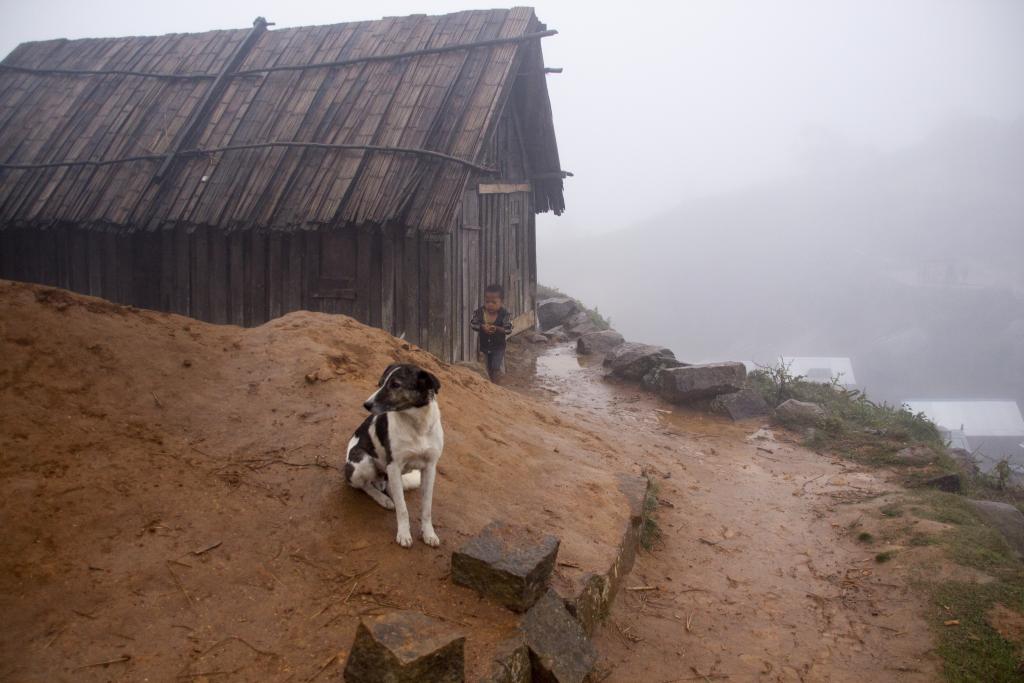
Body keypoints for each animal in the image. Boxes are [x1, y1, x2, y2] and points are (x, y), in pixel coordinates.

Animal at [344, 362, 444, 548]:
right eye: (381, 382)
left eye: (395, 385)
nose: (366, 405)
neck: (416, 425)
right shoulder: (394, 465)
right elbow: (403, 509)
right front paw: (404, 534)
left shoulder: (430, 467)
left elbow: (426, 507)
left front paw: (429, 533)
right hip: (362, 463)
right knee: (365, 485)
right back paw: (383, 499)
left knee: (390, 487)